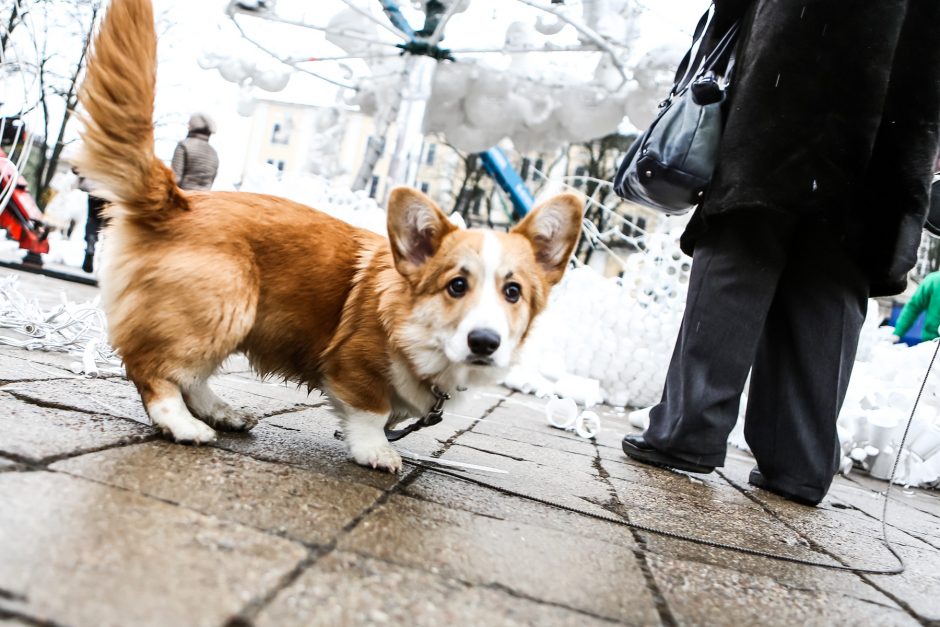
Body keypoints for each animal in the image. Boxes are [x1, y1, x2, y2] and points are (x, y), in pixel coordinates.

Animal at [77, 0, 584, 474]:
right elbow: (372, 411)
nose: (485, 342)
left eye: (513, 292)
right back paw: (183, 424)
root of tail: (177, 200)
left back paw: (223, 413)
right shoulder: (352, 365)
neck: (416, 328)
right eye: (456, 285)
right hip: (224, 306)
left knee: (190, 375)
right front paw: (376, 450)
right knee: (153, 369)